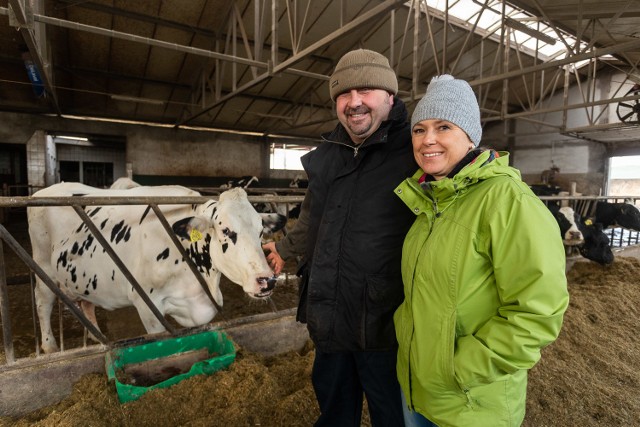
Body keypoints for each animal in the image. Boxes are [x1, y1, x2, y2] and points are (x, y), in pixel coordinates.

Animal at [29, 184, 284, 354]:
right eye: (226, 231)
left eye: (261, 231)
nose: (267, 280)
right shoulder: (147, 306)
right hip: (43, 267)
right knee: (43, 302)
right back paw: (50, 347)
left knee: (86, 303)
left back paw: (95, 335)